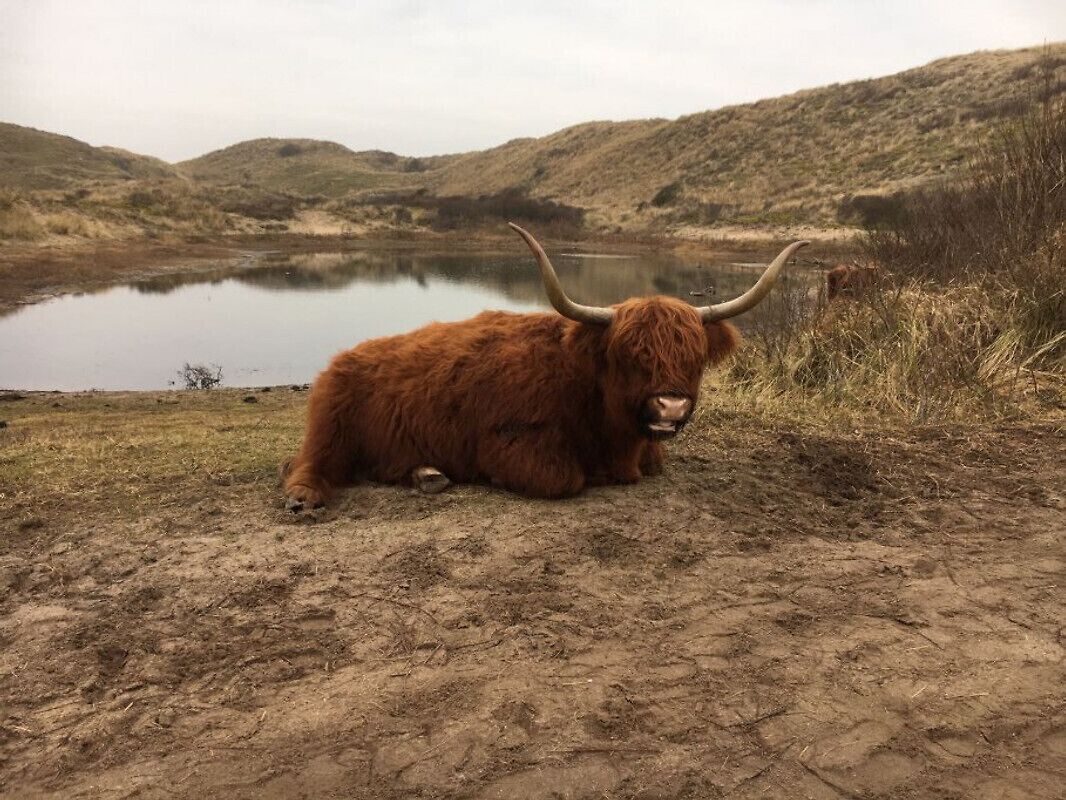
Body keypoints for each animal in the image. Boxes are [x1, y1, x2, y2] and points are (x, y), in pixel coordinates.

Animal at [282, 225, 808, 508]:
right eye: (630, 355)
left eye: (694, 358)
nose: (671, 407)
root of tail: (344, 358)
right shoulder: (512, 443)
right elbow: (564, 478)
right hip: (330, 421)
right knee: (308, 463)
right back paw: (303, 498)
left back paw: (426, 474)